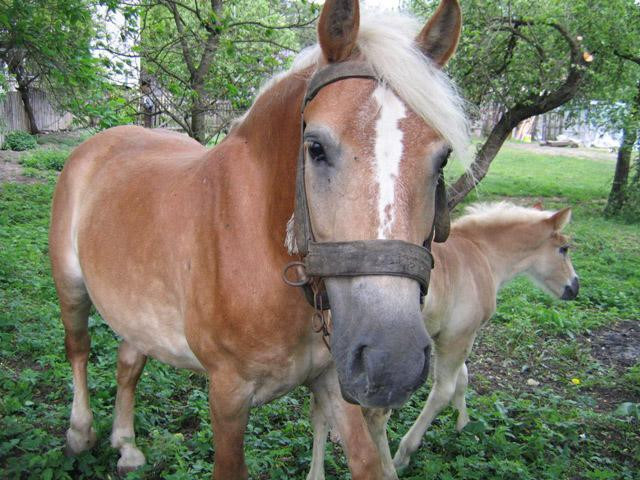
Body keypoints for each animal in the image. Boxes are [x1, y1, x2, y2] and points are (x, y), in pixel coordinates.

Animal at [50, 1, 468, 478]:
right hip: (71, 286)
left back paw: (126, 444)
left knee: (129, 361)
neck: (261, 247)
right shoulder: (228, 394)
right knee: (78, 349)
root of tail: (102, 142)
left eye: (442, 158)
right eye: (315, 147)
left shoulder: (333, 379)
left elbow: (366, 460)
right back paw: (80, 432)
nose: (391, 362)